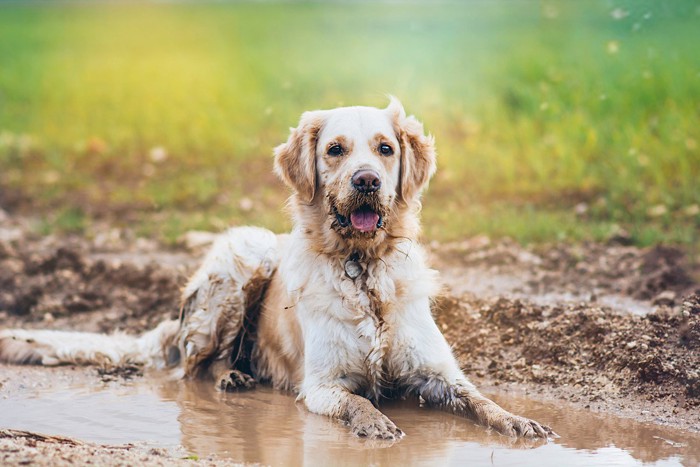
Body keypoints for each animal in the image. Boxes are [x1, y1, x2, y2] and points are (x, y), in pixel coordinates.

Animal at [2, 98, 556, 442]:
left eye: (386, 148)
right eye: (335, 149)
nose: (367, 180)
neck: (363, 270)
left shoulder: (437, 374)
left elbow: (481, 399)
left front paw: (520, 421)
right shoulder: (323, 385)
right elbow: (359, 403)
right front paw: (376, 424)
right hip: (244, 259)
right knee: (192, 369)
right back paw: (232, 378)